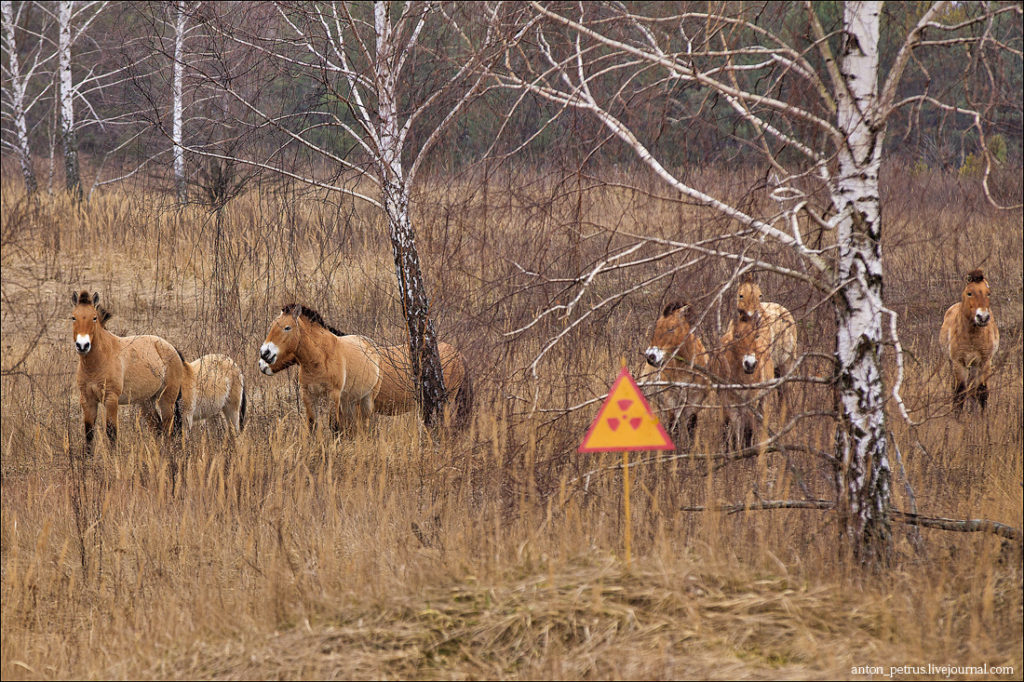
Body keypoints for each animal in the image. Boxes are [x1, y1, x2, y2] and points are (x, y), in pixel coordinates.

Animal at [70, 290, 185, 454]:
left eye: (94, 317)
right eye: (73, 317)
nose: (82, 345)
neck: (97, 362)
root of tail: (172, 348)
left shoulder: (111, 399)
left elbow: (111, 432)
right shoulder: (87, 400)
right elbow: (89, 434)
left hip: (167, 399)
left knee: (168, 428)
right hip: (146, 402)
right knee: (157, 428)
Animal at [259, 304, 381, 433]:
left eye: (287, 328)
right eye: (272, 325)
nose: (264, 353)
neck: (319, 358)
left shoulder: (333, 395)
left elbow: (334, 426)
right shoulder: (308, 395)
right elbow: (312, 425)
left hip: (367, 399)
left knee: (364, 423)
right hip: (348, 402)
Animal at [643, 301, 710, 443]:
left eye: (671, 328)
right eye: (656, 327)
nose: (650, 357)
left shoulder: (694, 401)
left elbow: (691, 427)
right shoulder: (670, 399)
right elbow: (673, 427)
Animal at [714, 313, 775, 451]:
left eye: (756, 335)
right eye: (737, 335)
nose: (750, 364)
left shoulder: (751, 403)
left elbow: (748, 432)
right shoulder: (729, 403)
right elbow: (729, 432)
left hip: (763, 401)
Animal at [939, 269, 999, 413]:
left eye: (988, 293)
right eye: (969, 293)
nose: (982, 317)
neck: (973, 337)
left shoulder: (984, 362)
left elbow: (982, 392)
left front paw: (983, 417)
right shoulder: (959, 363)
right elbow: (959, 393)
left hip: (973, 366)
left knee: (973, 390)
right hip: (955, 363)